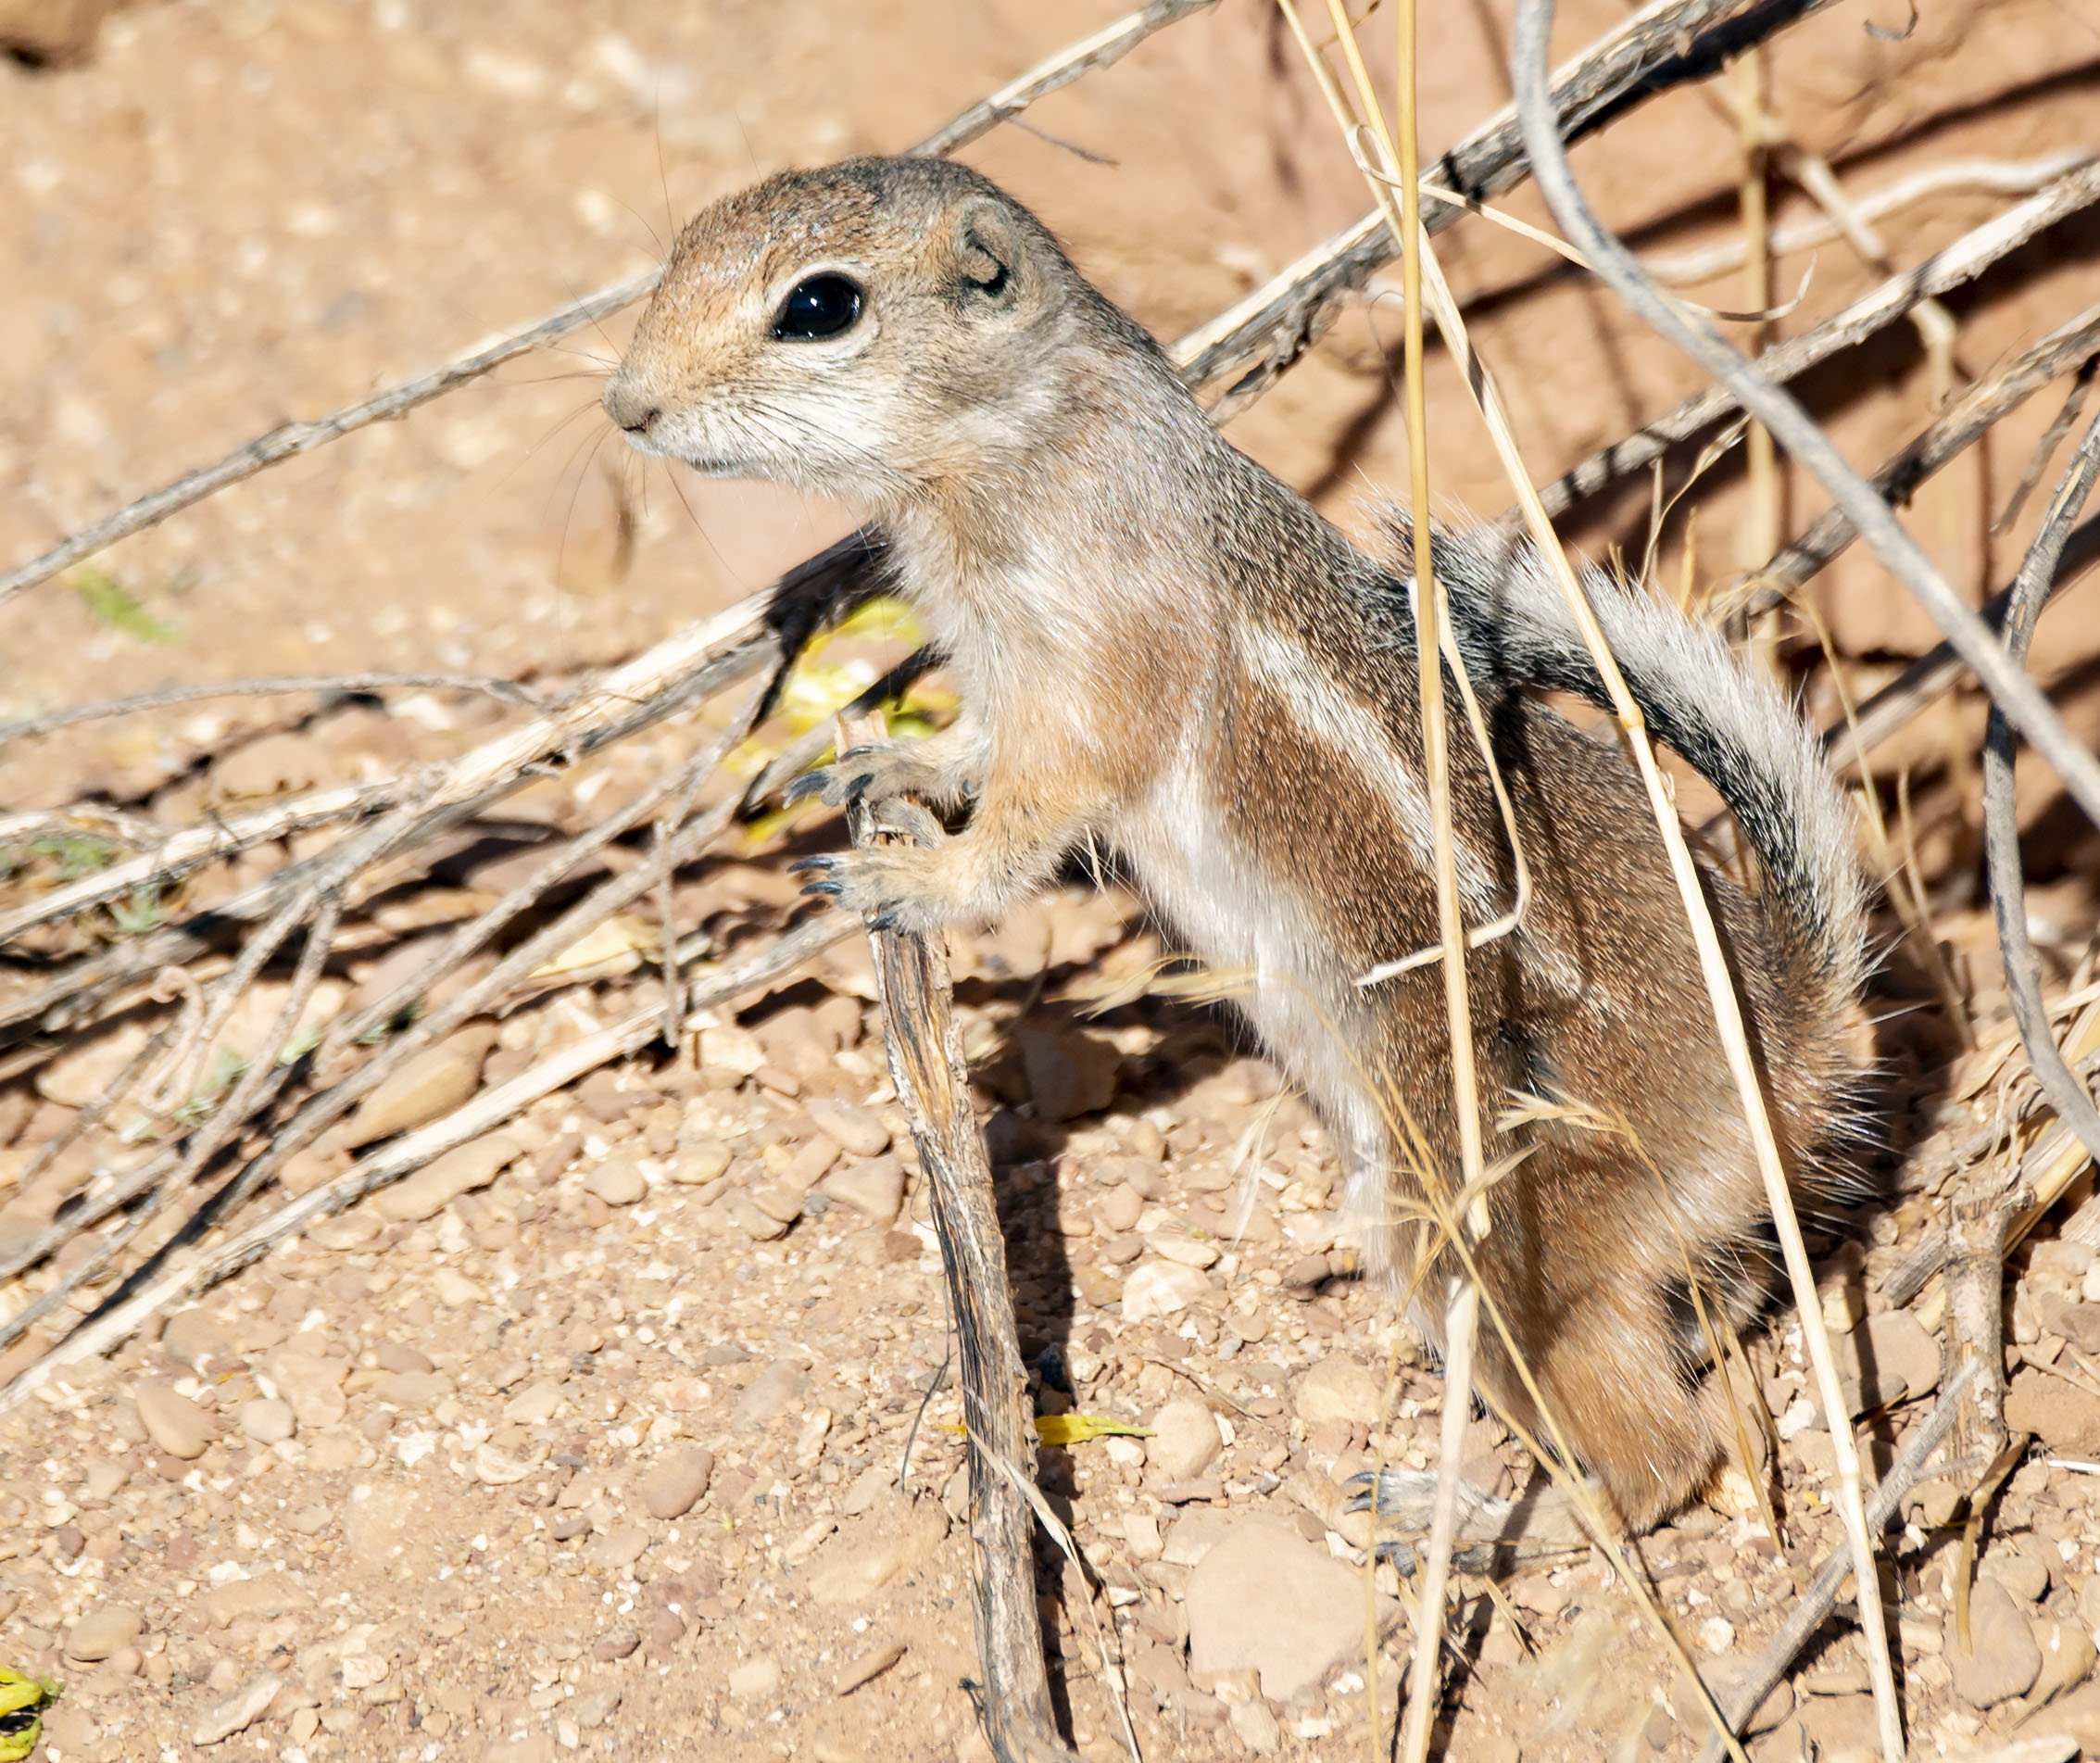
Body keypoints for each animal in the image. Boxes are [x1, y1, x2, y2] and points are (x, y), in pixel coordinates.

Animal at [603, 157, 1868, 1533]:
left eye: (819, 305)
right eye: (685, 241)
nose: (626, 406)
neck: (1025, 439)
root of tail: (1791, 1041)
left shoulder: (1090, 678)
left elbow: (1033, 820)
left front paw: (915, 876)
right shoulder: (1000, 670)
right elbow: (977, 747)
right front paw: (891, 763)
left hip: (1473, 1218)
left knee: (1661, 1454)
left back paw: (1473, 1523)